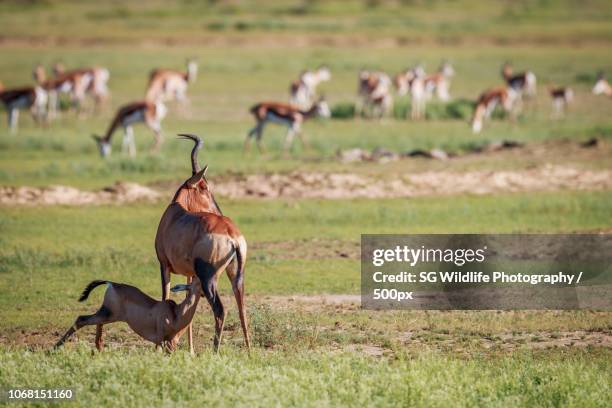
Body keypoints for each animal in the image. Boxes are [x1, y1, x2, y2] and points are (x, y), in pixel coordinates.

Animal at [55, 278, 203, 354]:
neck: (175, 312)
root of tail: (112, 284)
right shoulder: (160, 340)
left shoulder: (171, 342)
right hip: (109, 315)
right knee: (81, 319)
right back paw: (54, 348)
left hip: (107, 315)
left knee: (96, 322)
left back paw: (99, 348)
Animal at [155, 135, 249, 352]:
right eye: (204, 187)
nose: (218, 210)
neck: (175, 214)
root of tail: (232, 235)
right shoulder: (190, 274)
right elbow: (189, 301)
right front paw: (189, 349)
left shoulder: (164, 265)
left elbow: (165, 296)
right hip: (234, 273)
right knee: (241, 306)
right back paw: (249, 351)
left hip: (209, 278)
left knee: (220, 310)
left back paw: (215, 351)